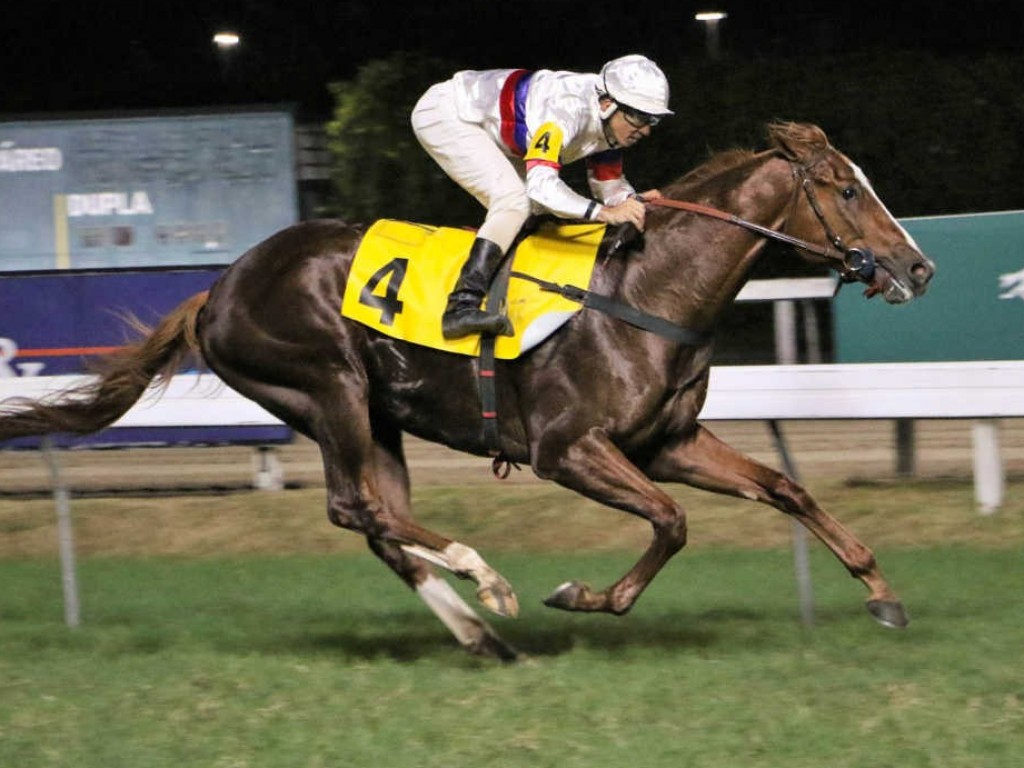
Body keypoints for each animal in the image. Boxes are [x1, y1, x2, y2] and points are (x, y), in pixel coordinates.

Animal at [0, 123, 937, 659]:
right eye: (845, 188)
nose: (918, 266)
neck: (645, 288)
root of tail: (216, 291)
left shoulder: (667, 443)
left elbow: (784, 487)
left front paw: (882, 593)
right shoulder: (569, 449)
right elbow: (671, 523)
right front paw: (586, 596)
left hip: (374, 415)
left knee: (379, 523)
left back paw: (480, 633)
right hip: (326, 385)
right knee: (356, 508)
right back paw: (485, 580)